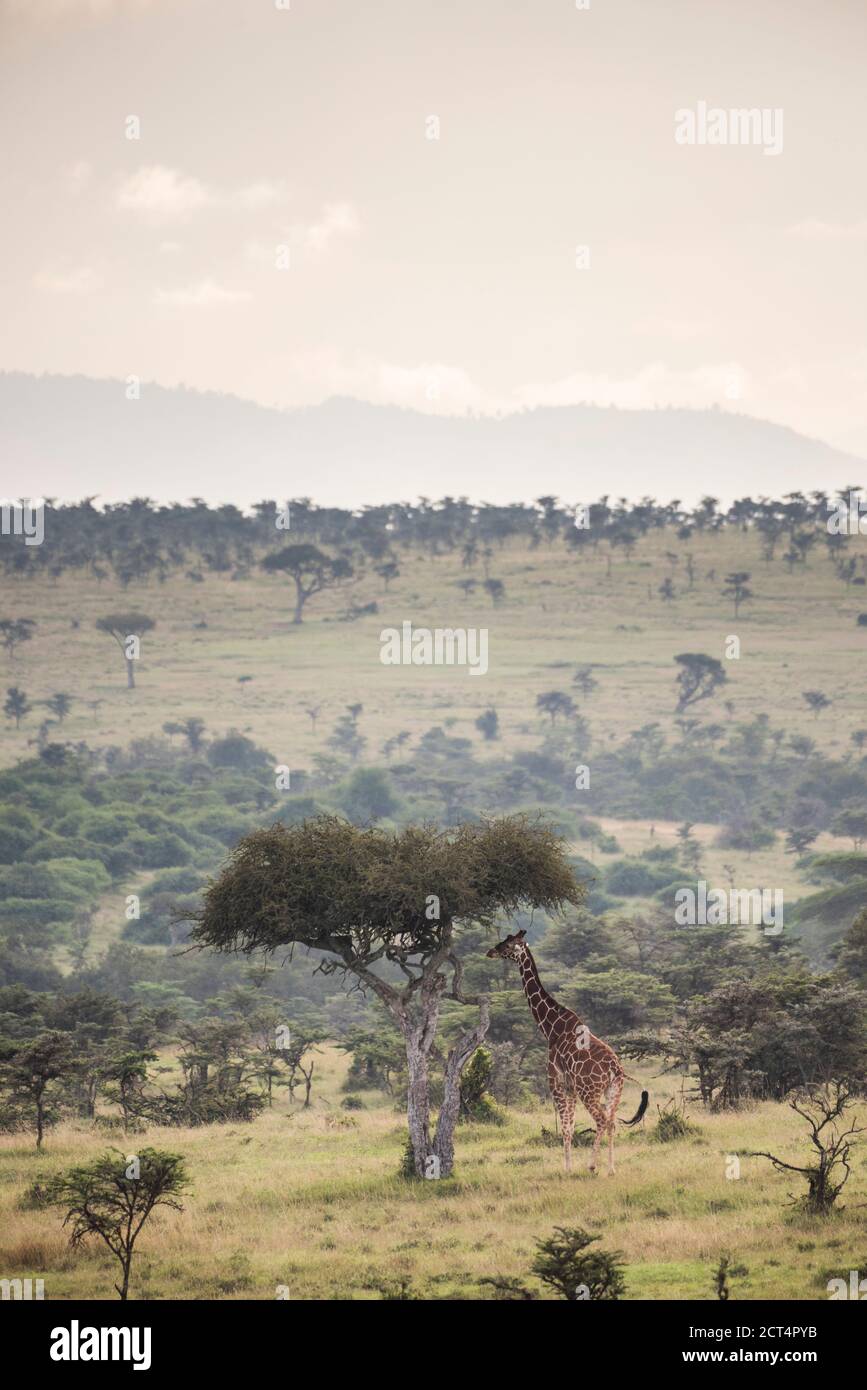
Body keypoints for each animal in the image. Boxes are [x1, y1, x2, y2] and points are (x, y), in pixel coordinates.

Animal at [483, 934, 647, 1173]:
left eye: (507, 944)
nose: (490, 952)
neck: (551, 1027)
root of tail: (615, 1068)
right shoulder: (570, 1087)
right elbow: (570, 1126)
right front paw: (569, 1166)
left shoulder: (557, 1082)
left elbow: (566, 1128)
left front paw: (567, 1169)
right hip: (613, 1091)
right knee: (612, 1122)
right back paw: (611, 1169)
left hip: (589, 1091)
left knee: (601, 1120)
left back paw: (592, 1166)